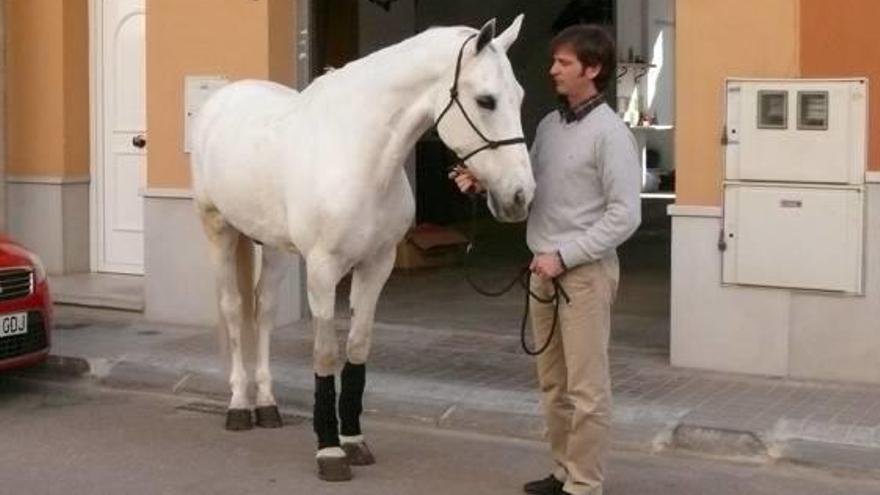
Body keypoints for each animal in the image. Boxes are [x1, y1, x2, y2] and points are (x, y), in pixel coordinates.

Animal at [190, 14, 532, 480]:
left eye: (519, 97)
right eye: (486, 100)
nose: (520, 195)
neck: (359, 156)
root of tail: (222, 98)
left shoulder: (376, 265)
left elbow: (357, 345)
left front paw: (353, 440)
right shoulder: (322, 269)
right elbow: (326, 353)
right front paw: (329, 450)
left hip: (274, 247)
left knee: (263, 312)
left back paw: (268, 405)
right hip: (219, 230)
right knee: (231, 308)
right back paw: (240, 406)